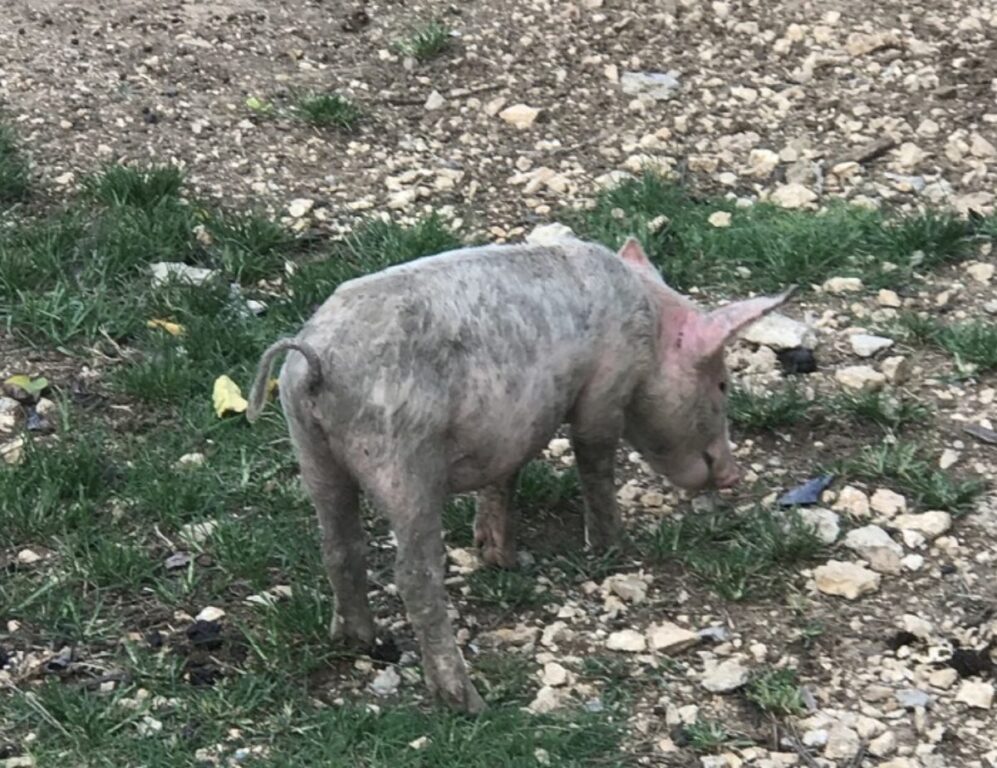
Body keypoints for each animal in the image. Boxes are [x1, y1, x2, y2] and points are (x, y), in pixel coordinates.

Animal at [246, 235, 793, 713]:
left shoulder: (509, 428)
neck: (650, 321)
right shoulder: (606, 389)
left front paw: (500, 557)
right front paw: (616, 548)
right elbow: (594, 458)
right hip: (401, 455)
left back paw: (362, 641)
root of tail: (317, 361)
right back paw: (467, 702)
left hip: (311, 449)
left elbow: (504, 478)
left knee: (339, 547)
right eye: (721, 384)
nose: (734, 474)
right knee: (414, 575)